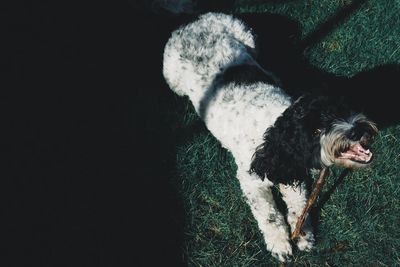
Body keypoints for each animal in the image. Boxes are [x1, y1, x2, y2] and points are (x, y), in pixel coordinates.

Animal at [161, 12, 376, 262]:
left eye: (338, 112)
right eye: (315, 131)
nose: (356, 131)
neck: (274, 131)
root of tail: (195, 21)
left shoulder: (292, 174)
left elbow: (298, 206)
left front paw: (303, 234)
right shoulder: (252, 180)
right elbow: (270, 215)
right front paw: (279, 243)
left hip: (247, 35)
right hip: (172, 77)